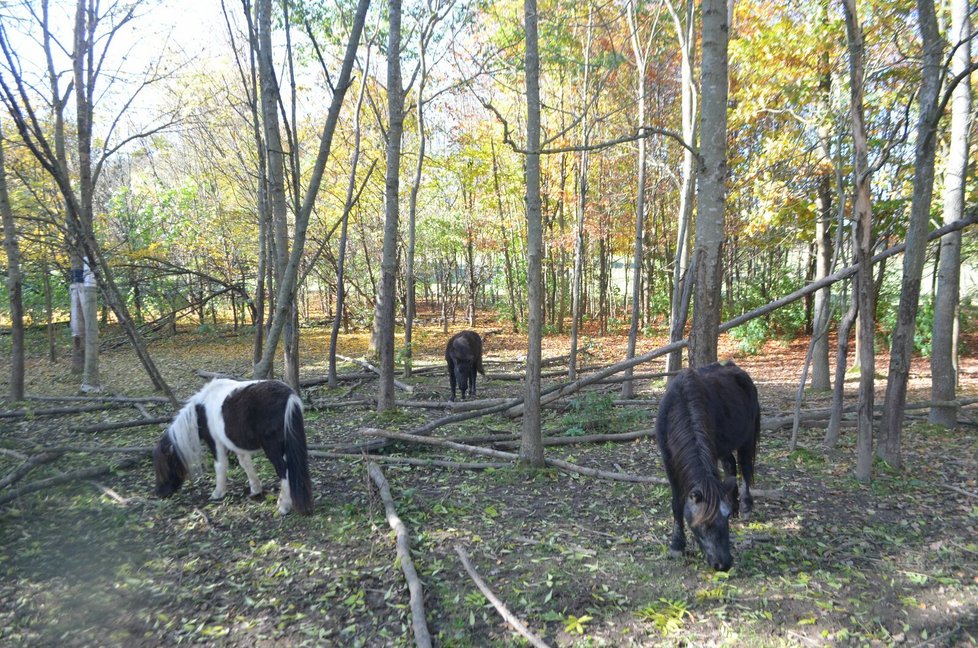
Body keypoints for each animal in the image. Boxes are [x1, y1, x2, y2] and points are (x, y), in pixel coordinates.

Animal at [153, 380, 312, 516]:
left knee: (283, 470)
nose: (159, 493)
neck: (200, 411)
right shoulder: (235, 444)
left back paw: (284, 506)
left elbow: (220, 466)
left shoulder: (215, 442)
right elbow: (245, 463)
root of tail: (289, 397)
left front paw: (218, 493)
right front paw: (255, 489)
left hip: (272, 447)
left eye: (166, 468)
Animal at [652, 362, 760, 568]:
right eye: (703, 523)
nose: (723, 564)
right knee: (731, 466)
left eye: (725, 518)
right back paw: (735, 504)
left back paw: (745, 507)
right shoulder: (668, 460)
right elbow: (677, 502)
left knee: (745, 469)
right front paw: (677, 545)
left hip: (747, 438)